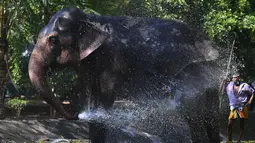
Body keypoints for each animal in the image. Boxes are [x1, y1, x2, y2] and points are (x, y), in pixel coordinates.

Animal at [28, 7, 223, 142]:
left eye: (53, 39)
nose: (76, 114)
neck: (92, 20)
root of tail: (211, 44)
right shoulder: (88, 65)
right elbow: (90, 94)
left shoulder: (111, 58)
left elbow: (105, 97)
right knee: (211, 116)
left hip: (193, 70)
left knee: (192, 113)